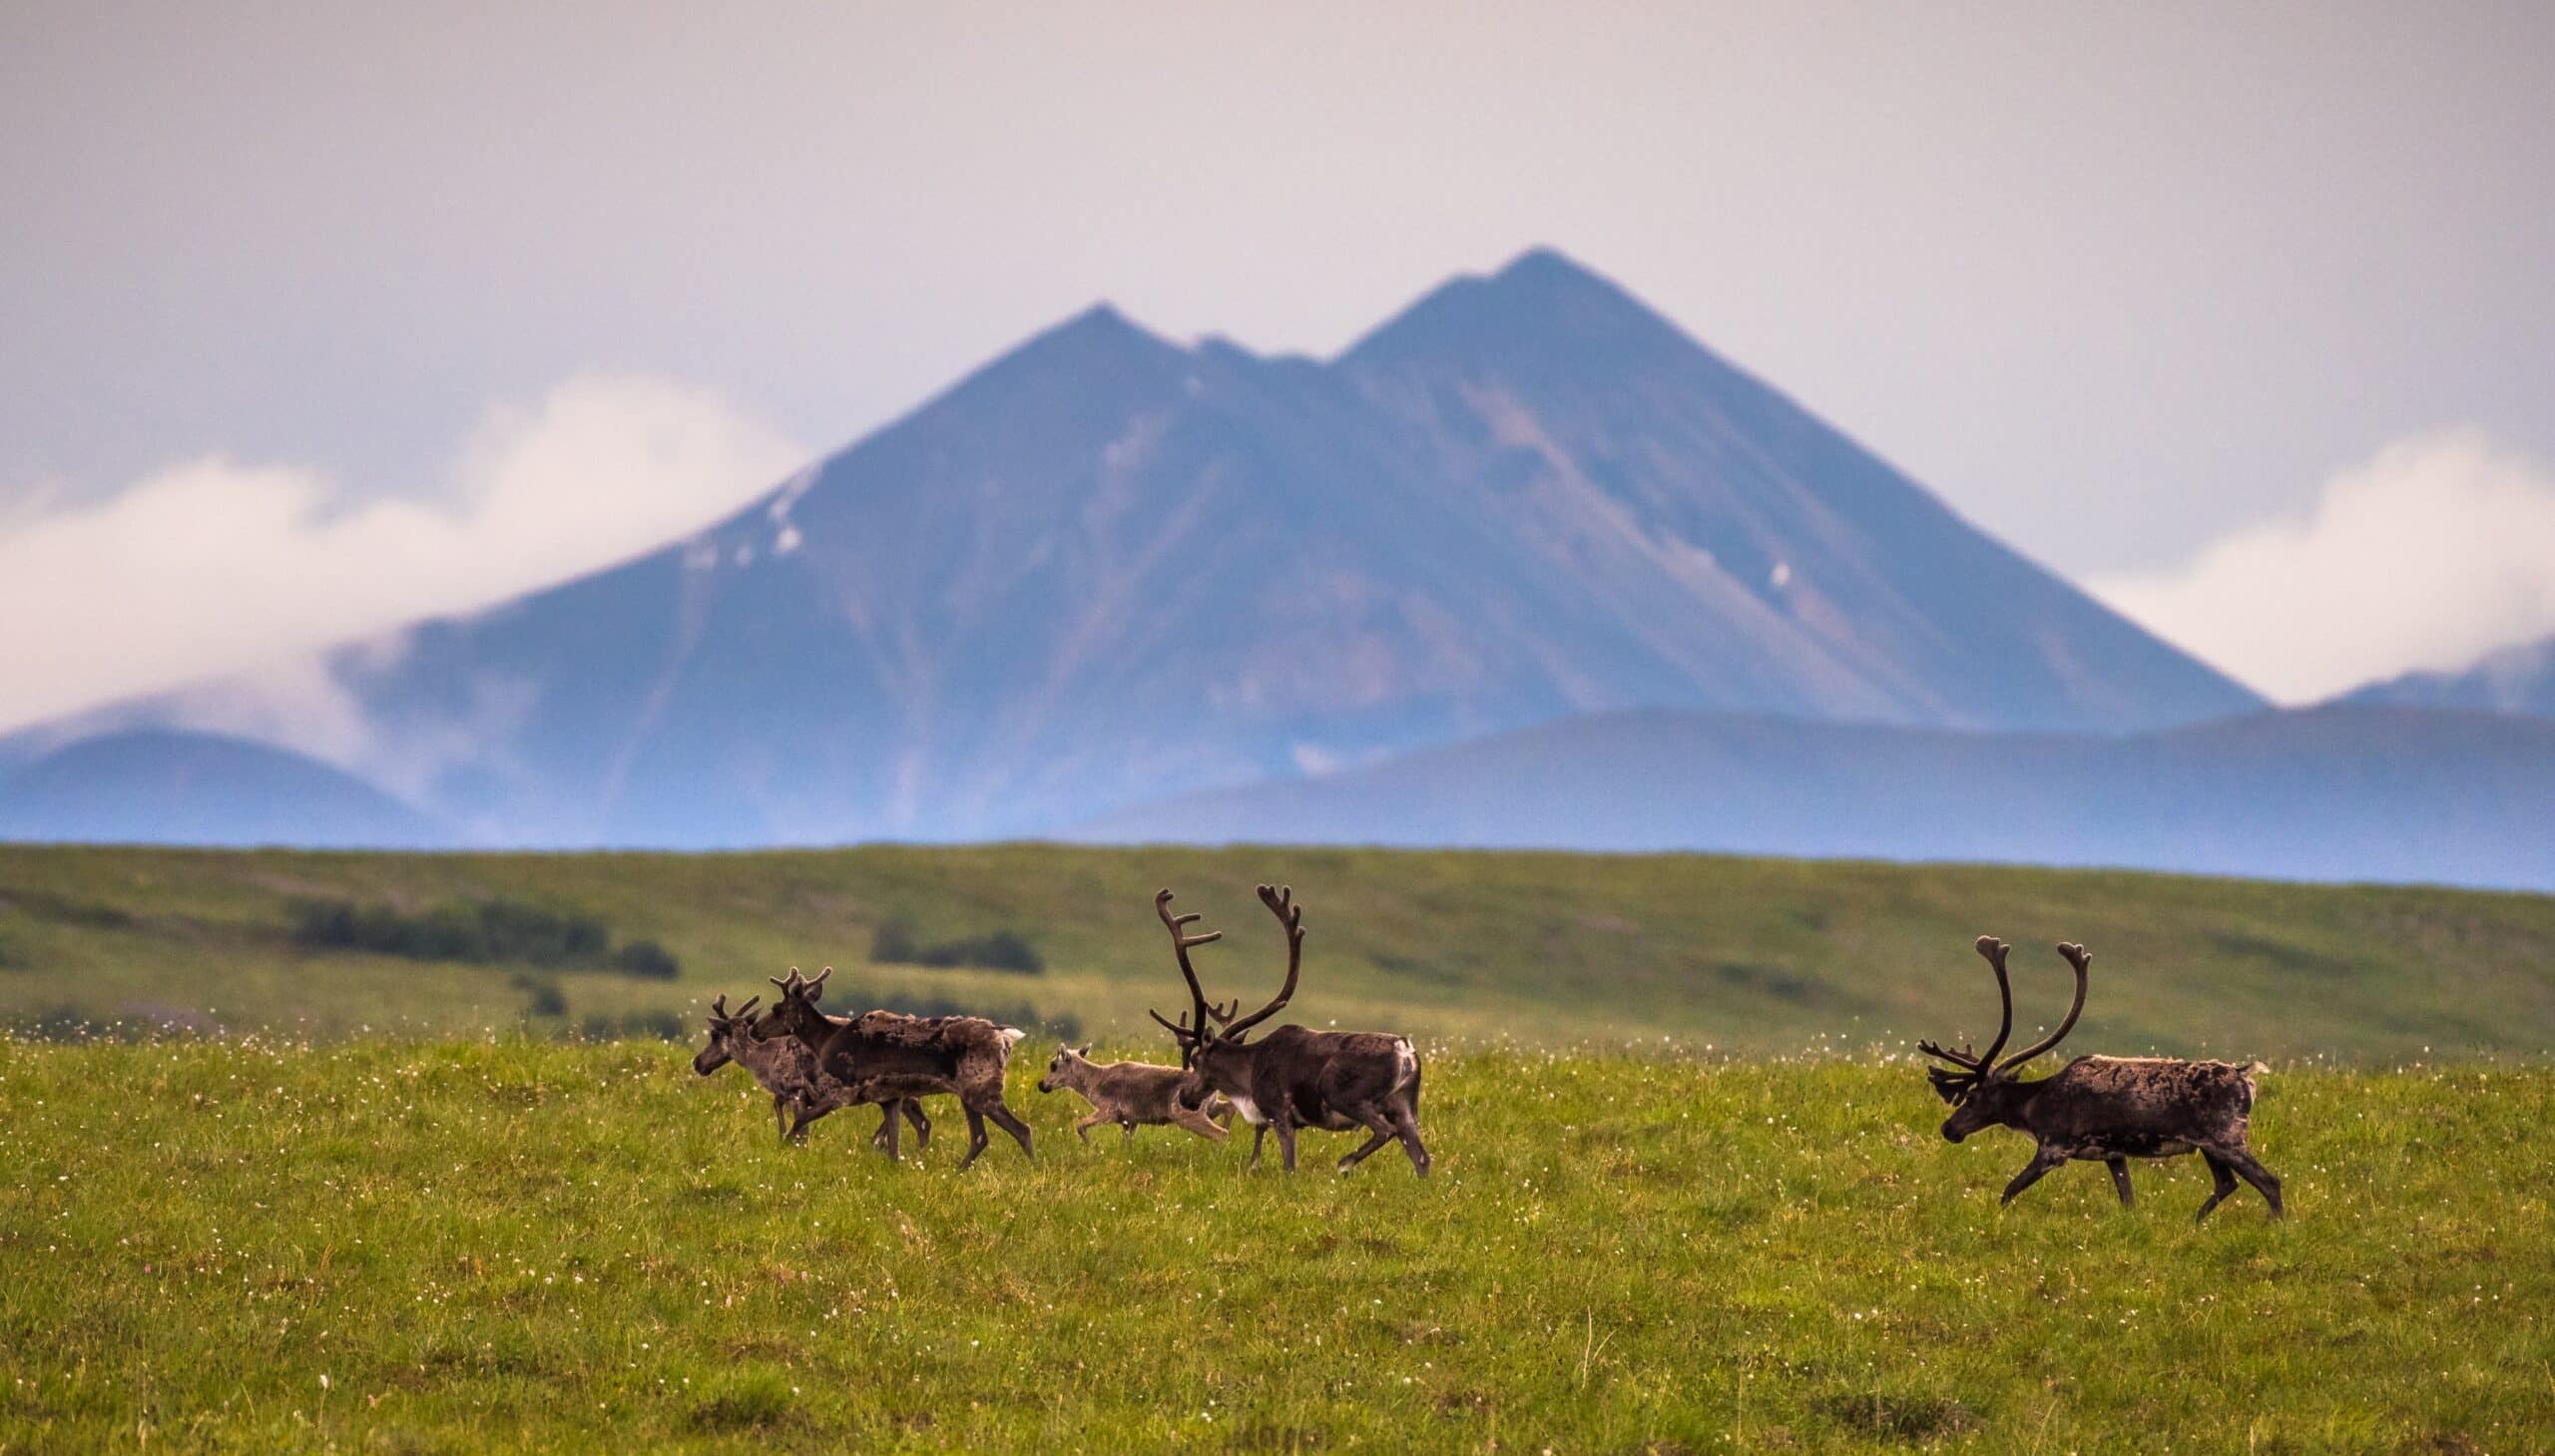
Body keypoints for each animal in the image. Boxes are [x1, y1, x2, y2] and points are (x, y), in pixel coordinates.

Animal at [1037, 1042, 1237, 1144]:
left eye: (1053, 1065)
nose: (1041, 1085)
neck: (1094, 1080)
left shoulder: (1108, 1112)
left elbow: (1079, 1124)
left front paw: (1091, 1146)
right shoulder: (1130, 1121)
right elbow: (1128, 1143)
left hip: (1189, 1115)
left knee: (1220, 1133)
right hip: (1210, 1108)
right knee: (1229, 1108)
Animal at [1921, 929, 2289, 1211]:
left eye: (1971, 1098)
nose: (1948, 1129)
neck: (2035, 1103)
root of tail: (2245, 1076)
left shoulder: (2054, 1148)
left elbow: (2009, 1189)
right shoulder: (2114, 1155)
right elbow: (2129, 1202)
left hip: (2227, 1139)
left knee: (2269, 1182)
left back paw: (2274, 1226)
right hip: (2209, 1146)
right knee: (2226, 1184)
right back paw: (2194, 1223)